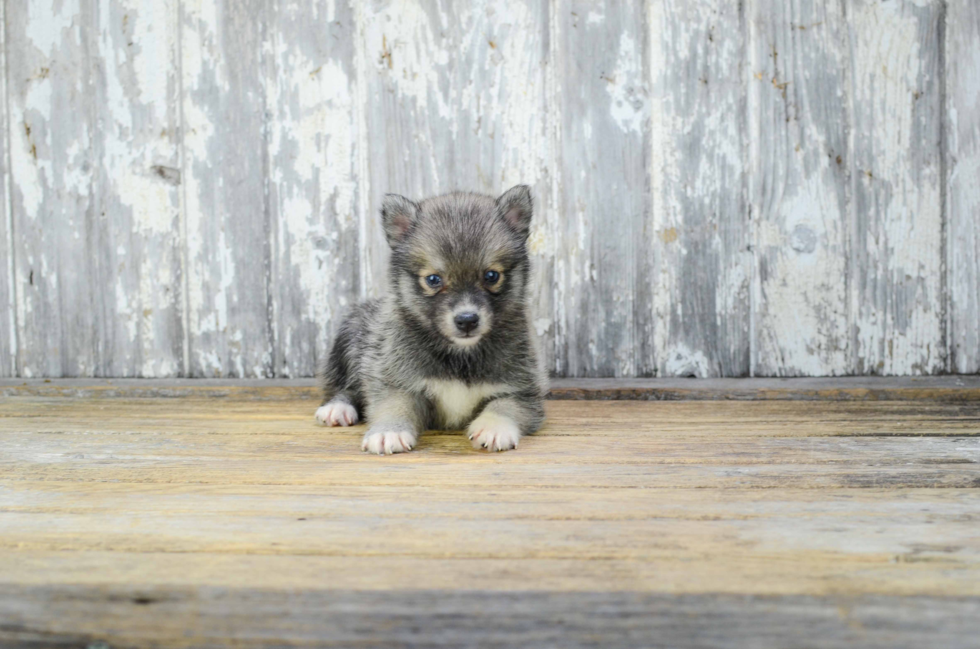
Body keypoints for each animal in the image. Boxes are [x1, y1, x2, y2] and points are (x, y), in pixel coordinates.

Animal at [316, 185, 548, 454]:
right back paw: (337, 408)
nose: (467, 320)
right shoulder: (397, 380)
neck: (461, 355)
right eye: (434, 279)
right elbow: (394, 404)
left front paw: (494, 428)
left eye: (491, 276)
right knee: (344, 387)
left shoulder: (523, 391)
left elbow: (505, 406)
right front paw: (389, 431)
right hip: (352, 337)